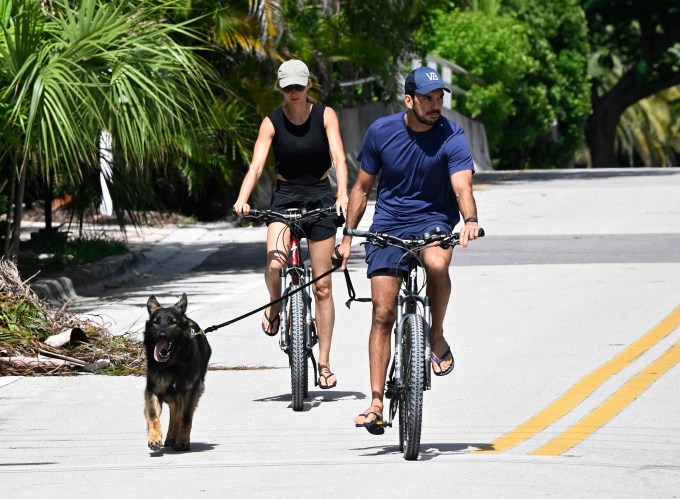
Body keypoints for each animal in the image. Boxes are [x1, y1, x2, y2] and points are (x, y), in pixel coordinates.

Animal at [146, 292, 212, 454]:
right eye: (156, 322)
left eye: (172, 322)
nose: (162, 335)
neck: (173, 364)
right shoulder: (153, 390)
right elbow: (153, 415)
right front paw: (154, 438)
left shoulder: (190, 390)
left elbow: (185, 417)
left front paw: (182, 441)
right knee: (174, 410)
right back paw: (170, 437)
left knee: (179, 413)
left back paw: (174, 438)